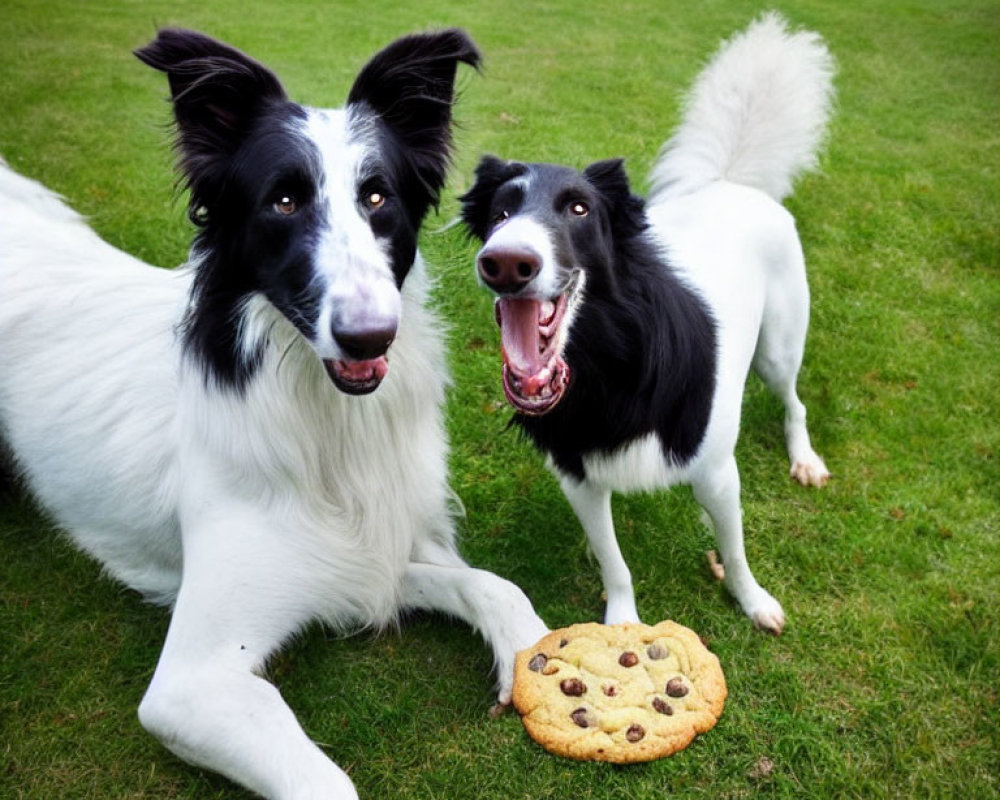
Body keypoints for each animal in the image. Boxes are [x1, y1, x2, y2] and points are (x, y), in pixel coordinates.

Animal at [0, 28, 548, 796]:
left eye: (377, 196)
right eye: (283, 201)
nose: (370, 336)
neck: (325, 423)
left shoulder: (374, 557)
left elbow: (494, 586)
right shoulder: (190, 687)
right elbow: (328, 783)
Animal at [462, 12, 836, 636]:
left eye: (580, 209)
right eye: (501, 211)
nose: (505, 262)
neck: (612, 365)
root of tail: (731, 182)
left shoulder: (717, 470)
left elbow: (737, 550)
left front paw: (753, 600)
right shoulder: (579, 478)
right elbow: (615, 561)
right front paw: (621, 621)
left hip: (779, 350)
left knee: (795, 402)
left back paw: (804, 459)